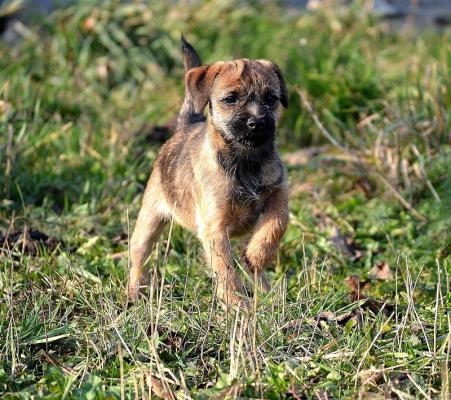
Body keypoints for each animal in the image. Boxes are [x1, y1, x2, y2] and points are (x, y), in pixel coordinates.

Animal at [127, 37, 290, 306]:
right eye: (231, 99)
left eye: (270, 98)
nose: (257, 123)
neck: (245, 160)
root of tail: (185, 126)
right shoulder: (215, 229)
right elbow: (225, 271)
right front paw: (236, 305)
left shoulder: (277, 192)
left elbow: (278, 222)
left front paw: (258, 255)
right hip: (149, 219)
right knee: (139, 253)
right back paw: (134, 291)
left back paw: (266, 290)